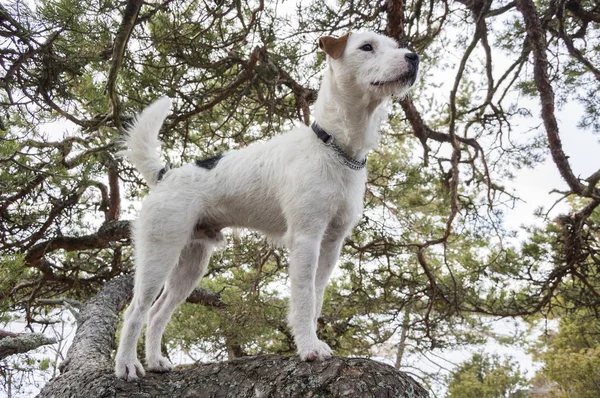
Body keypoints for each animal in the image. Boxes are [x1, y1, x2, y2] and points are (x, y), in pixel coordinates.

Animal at [115, 31, 420, 380]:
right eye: (367, 47)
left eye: (396, 46)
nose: (413, 57)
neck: (335, 147)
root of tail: (165, 175)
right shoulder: (306, 238)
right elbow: (303, 298)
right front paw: (308, 348)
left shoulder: (331, 245)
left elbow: (316, 298)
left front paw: (312, 340)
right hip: (159, 255)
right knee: (135, 311)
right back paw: (127, 365)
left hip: (190, 266)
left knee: (157, 313)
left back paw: (154, 361)